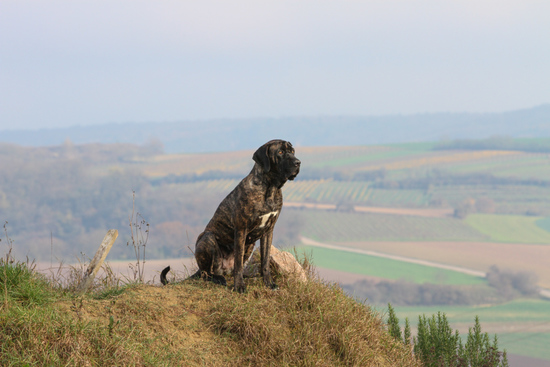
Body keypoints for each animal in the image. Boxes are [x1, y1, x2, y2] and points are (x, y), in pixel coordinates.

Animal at [161, 141, 302, 294]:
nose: (298, 162)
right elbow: (239, 263)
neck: (270, 188)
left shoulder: (268, 231)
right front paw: (239, 286)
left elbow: (265, 261)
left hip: (250, 245)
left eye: (292, 151)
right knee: (207, 273)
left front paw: (269, 283)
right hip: (207, 238)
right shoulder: (241, 229)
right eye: (280, 152)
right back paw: (219, 279)